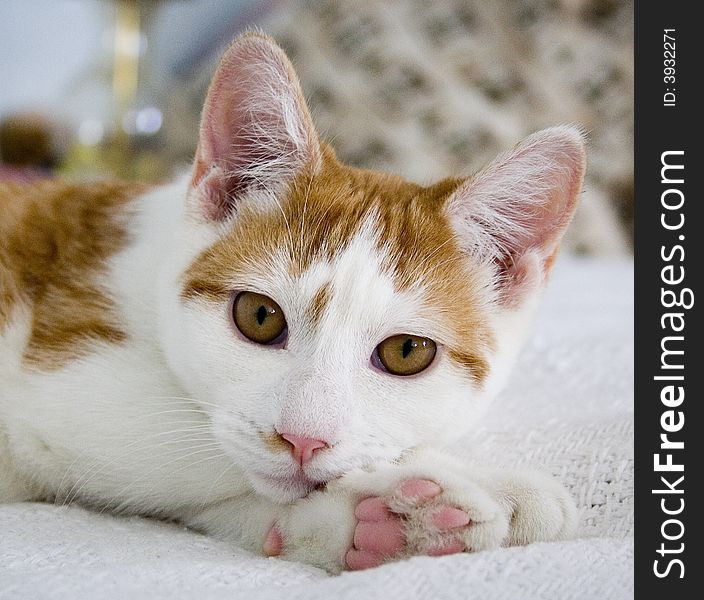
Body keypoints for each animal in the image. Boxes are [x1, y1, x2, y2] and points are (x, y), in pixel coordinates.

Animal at [0, 31, 584, 572]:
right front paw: (479, 481)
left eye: (407, 352)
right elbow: (196, 442)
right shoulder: (66, 369)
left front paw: (374, 521)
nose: (303, 440)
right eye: (259, 316)